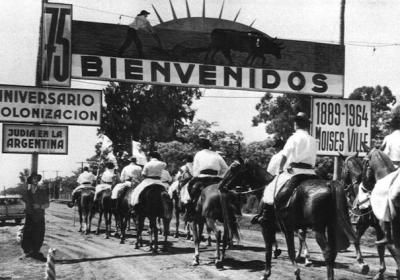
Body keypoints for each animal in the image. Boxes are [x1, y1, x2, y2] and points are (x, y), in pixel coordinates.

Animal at [220, 160, 354, 280]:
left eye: (234, 169)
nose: (222, 186)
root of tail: (328, 184)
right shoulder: (285, 228)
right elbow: (287, 248)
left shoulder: (269, 227)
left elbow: (274, 250)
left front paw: (269, 273)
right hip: (331, 227)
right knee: (332, 252)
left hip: (318, 229)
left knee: (327, 252)